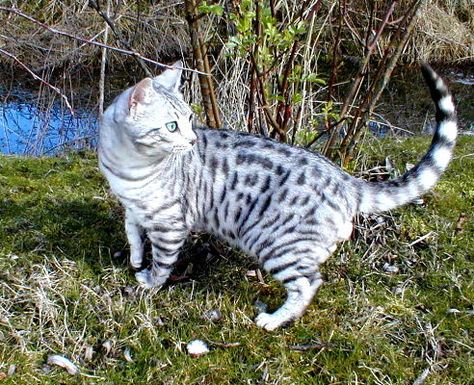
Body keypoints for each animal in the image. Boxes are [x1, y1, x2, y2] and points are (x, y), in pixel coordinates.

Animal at [98, 60, 458, 330]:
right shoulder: (133, 208)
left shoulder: (169, 224)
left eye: (187, 120)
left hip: (274, 242)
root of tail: (344, 179)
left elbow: (162, 261)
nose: (191, 140)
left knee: (308, 283)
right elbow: (132, 233)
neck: (128, 166)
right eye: (172, 126)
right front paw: (135, 258)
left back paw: (274, 319)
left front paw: (149, 282)